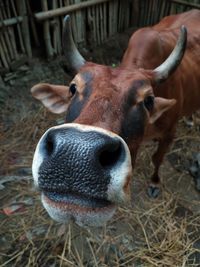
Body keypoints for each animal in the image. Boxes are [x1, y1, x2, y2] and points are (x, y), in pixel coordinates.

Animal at [30, 9, 200, 228]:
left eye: (148, 99)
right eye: (73, 88)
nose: (75, 155)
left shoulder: (169, 134)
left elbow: (157, 158)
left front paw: (154, 183)